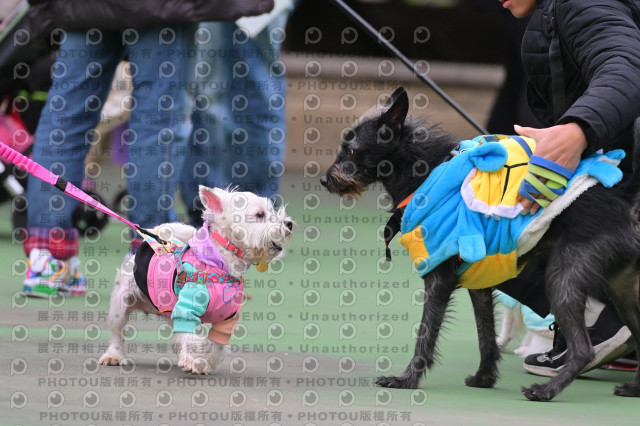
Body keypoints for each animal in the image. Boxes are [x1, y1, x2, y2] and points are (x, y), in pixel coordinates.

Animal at [99, 186, 294, 374]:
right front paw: (193, 360)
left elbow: (214, 343)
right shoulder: (186, 308)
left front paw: (203, 361)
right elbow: (190, 335)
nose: (289, 223)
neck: (219, 265)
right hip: (120, 303)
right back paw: (114, 356)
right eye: (260, 214)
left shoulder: (227, 318)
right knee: (117, 331)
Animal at [321, 87, 640, 401]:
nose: (324, 180)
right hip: (622, 292)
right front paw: (485, 377)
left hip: (563, 280)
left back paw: (546, 390)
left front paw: (407, 379)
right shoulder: (480, 282)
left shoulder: (438, 279)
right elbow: (486, 333)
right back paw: (631, 388)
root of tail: (622, 203)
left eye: (352, 149)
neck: (425, 172)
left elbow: (425, 334)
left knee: (584, 349)